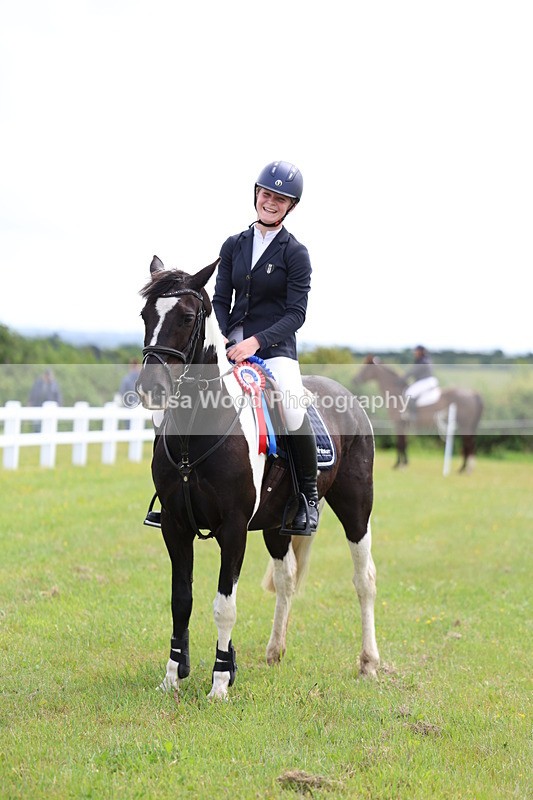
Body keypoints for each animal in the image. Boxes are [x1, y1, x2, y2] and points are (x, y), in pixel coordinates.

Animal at [135, 255, 380, 700]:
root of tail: (347, 397)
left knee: (363, 578)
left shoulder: (233, 529)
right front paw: (173, 677)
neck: (198, 429)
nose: (151, 388)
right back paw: (275, 651)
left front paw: (219, 684)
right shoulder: (176, 526)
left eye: (187, 316)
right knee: (286, 579)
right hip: (276, 525)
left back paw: (369, 663)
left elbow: (224, 605)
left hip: (356, 507)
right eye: (146, 314)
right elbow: (182, 600)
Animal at [354, 355, 484, 472]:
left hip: (465, 425)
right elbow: (404, 443)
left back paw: (464, 468)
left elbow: (400, 443)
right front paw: (404, 463)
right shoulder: (404, 425)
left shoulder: (398, 424)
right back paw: (466, 468)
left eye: (365, 368)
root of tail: (473, 393)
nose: (355, 380)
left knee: (467, 443)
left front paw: (398, 465)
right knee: (470, 443)